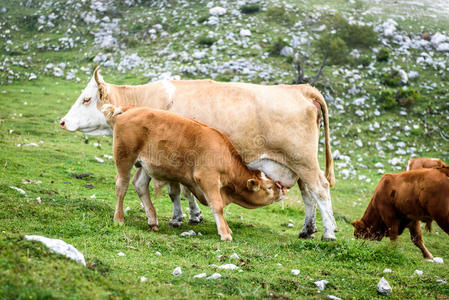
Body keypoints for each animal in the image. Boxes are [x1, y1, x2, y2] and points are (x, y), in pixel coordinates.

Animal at [103, 104, 282, 240]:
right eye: (268, 187)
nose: (281, 189)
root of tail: (129, 109)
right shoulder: (207, 178)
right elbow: (217, 205)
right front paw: (225, 233)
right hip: (124, 158)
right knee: (122, 185)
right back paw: (119, 219)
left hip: (146, 165)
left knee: (140, 185)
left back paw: (153, 220)